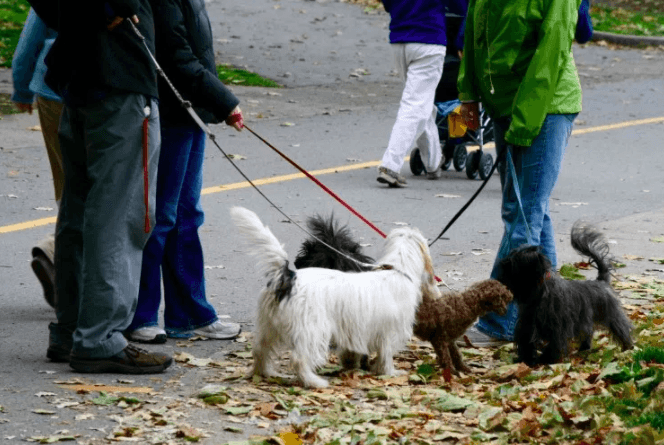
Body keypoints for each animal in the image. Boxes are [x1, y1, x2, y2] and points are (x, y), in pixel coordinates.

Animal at [228, 206, 436, 386]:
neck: (397, 269)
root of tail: (288, 277)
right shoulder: (389, 331)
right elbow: (386, 356)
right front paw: (390, 373)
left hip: (268, 327)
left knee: (260, 350)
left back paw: (263, 373)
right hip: (313, 330)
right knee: (299, 359)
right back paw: (313, 382)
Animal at [498, 220, 632, 366]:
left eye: (514, 263)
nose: (502, 264)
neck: (539, 292)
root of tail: (601, 282)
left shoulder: (557, 327)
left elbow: (553, 345)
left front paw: (546, 360)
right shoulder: (526, 325)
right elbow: (526, 344)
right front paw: (527, 360)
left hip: (612, 315)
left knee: (622, 329)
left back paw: (628, 348)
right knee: (588, 333)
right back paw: (584, 349)